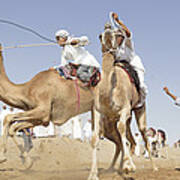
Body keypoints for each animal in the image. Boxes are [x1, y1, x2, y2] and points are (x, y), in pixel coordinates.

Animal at [87, 27, 156, 180]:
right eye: (100, 35)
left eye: (118, 35)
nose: (107, 31)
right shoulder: (97, 111)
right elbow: (94, 138)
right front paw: (93, 174)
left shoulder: (125, 109)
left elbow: (121, 128)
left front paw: (129, 166)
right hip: (113, 123)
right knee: (127, 140)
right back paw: (115, 168)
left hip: (139, 109)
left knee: (143, 134)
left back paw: (154, 167)